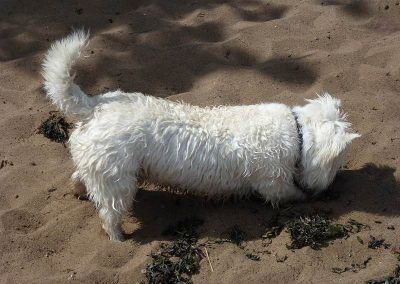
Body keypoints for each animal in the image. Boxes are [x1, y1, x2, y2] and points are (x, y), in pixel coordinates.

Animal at [43, 31, 360, 241]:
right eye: (339, 162)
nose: (329, 190)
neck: (297, 135)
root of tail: (93, 106)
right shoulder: (274, 184)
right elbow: (292, 195)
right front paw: (309, 199)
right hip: (117, 180)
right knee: (109, 214)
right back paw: (119, 237)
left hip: (101, 165)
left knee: (81, 178)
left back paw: (79, 190)